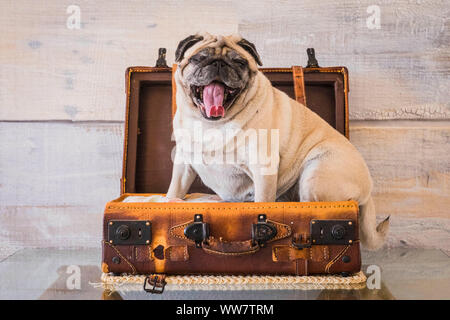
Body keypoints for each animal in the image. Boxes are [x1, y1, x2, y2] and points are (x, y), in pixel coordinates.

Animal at [167, 32, 388, 249]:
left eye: (239, 62)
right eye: (198, 58)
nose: (219, 64)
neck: (212, 124)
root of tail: (368, 191)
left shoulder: (262, 169)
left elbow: (263, 201)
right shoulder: (183, 165)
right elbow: (174, 188)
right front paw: (170, 200)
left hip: (315, 175)